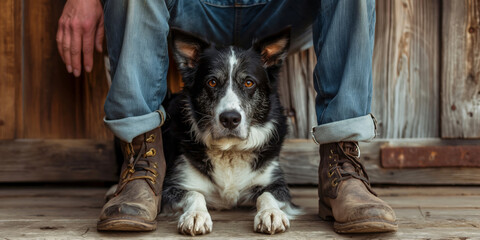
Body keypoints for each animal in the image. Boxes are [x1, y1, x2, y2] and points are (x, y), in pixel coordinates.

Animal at [161, 28, 296, 236]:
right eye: (212, 82)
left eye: (249, 83)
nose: (230, 119)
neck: (230, 150)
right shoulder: (171, 188)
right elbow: (194, 193)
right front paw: (196, 215)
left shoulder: (277, 184)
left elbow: (266, 194)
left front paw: (271, 213)